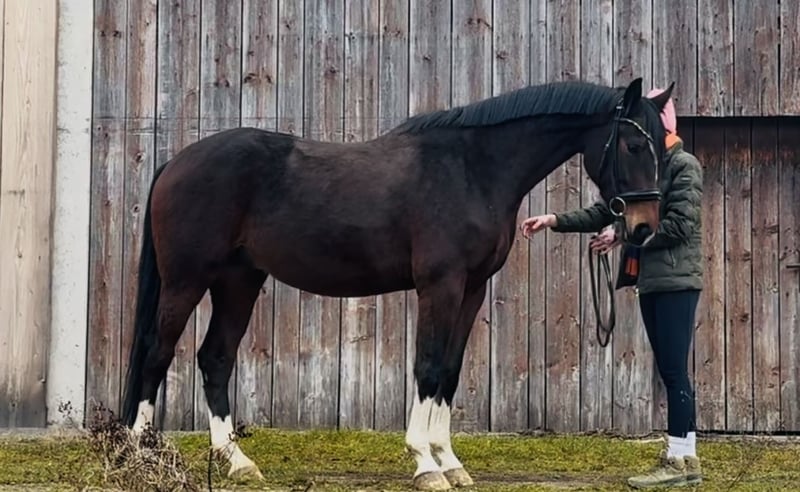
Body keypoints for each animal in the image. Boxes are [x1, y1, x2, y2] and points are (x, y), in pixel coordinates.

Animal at [120, 76, 673, 490]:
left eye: (661, 151)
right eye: (631, 144)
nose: (643, 227)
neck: (472, 169)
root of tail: (176, 162)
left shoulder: (471, 290)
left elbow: (449, 371)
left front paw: (451, 462)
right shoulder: (440, 286)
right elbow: (427, 366)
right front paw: (425, 464)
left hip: (239, 281)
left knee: (215, 359)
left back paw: (237, 462)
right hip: (186, 281)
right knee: (157, 353)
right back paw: (141, 455)